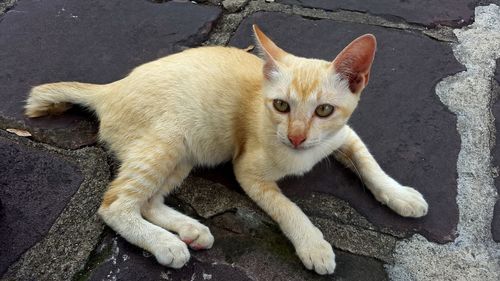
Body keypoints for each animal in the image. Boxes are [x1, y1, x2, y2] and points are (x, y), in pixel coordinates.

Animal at [25, 25, 428, 274]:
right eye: (281, 106)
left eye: (324, 111)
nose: (297, 137)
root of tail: (110, 88)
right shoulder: (247, 171)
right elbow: (288, 207)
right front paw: (313, 244)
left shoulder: (343, 134)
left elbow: (369, 163)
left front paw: (400, 195)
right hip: (170, 142)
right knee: (116, 204)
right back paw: (166, 244)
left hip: (182, 155)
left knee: (148, 201)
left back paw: (189, 230)